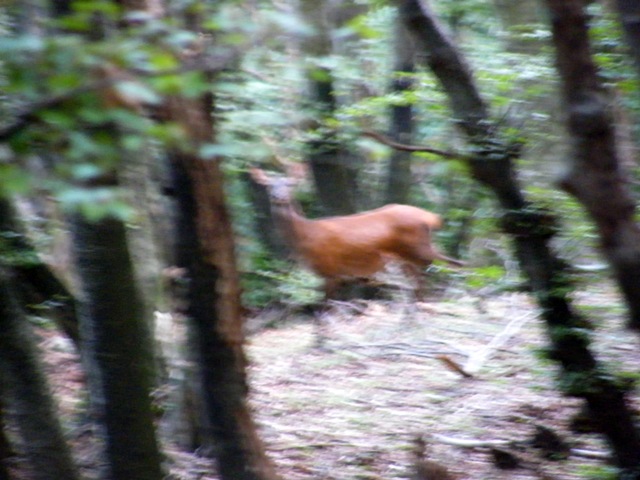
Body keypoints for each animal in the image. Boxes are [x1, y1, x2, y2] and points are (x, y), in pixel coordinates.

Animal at [248, 165, 462, 304]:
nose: (279, 197)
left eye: (291, 184)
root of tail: (431, 217)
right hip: (410, 257)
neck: (306, 236)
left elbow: (326, 308)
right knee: (426, 278)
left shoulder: (331, 269)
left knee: (451, 265)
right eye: (268, 185)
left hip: (419, 250)